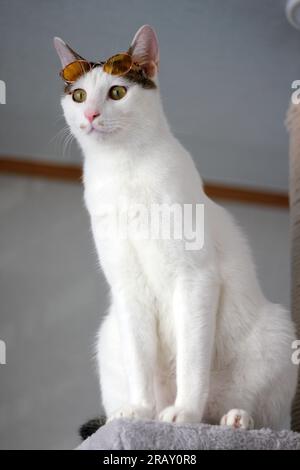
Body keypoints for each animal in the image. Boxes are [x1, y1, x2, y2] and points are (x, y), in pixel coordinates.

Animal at [54, 25, 298, 430]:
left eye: (117, 92)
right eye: (79, 95)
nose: (89, 114)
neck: (123, 171)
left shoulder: (195, 278)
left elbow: (190, 361)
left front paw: (182, 415)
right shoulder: (128, 288)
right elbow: (140, 366)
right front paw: (138, 412)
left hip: (278, 333)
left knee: (260, 415)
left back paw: (233, 420)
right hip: (108, 336)